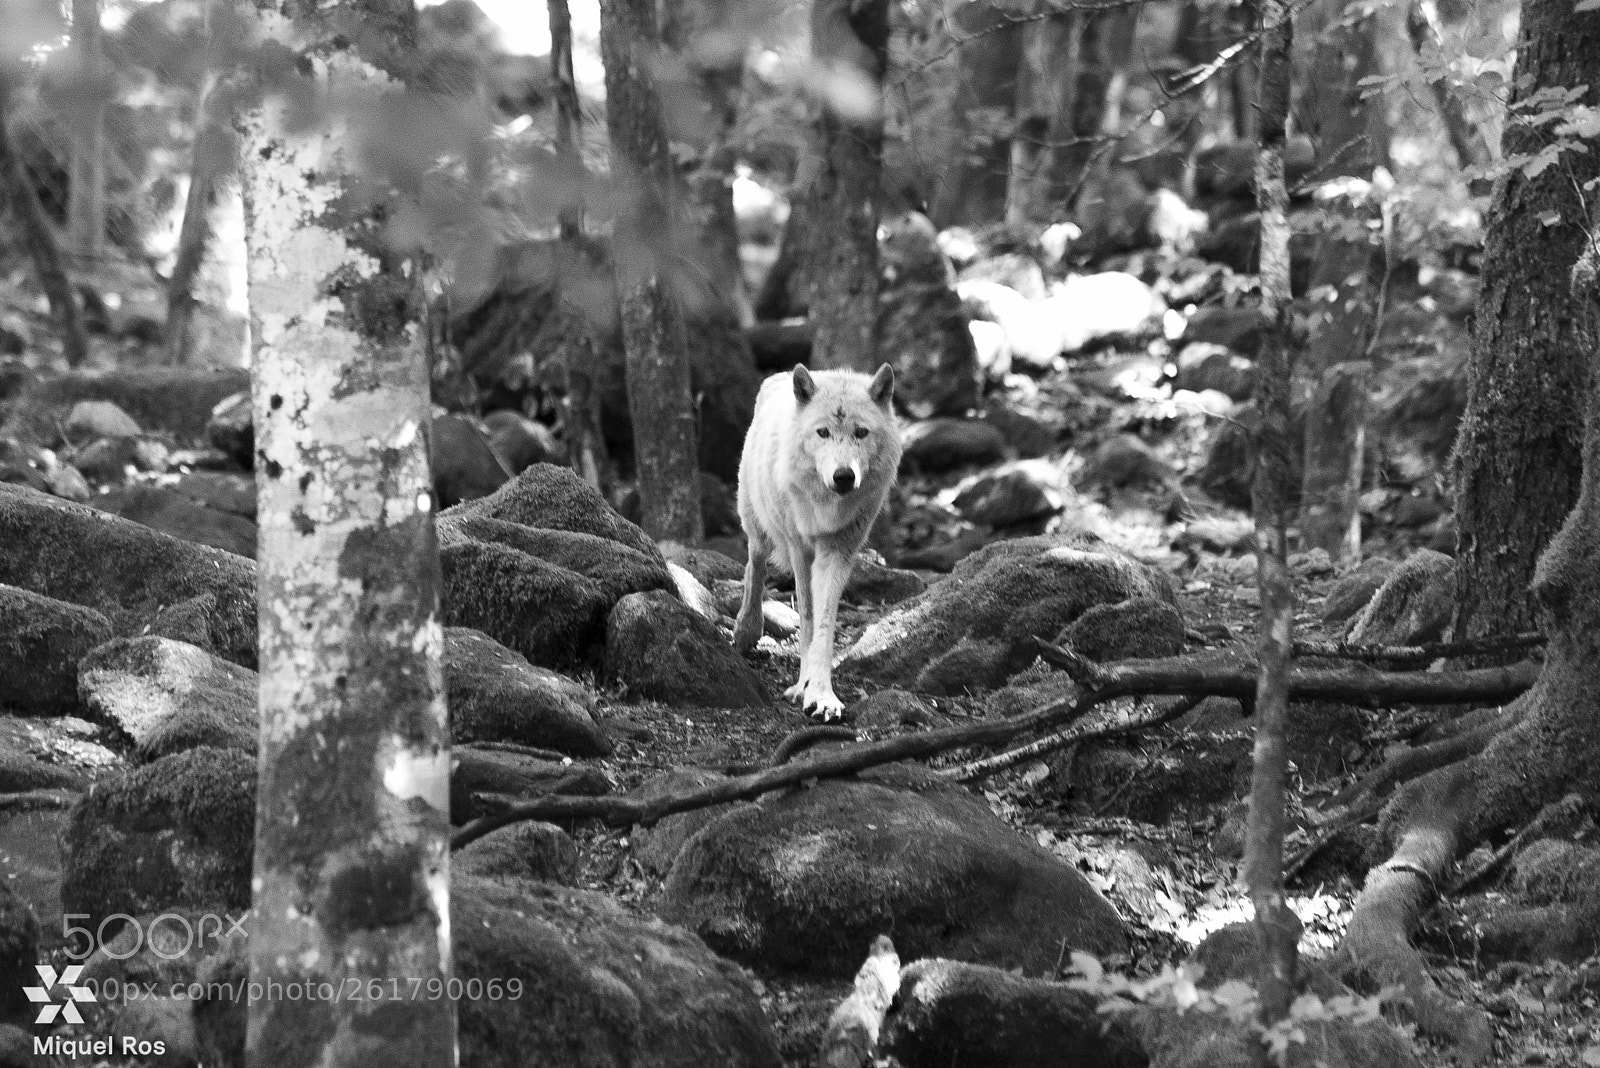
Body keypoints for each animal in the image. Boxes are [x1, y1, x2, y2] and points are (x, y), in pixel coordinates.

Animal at [733, 363, 901, 720]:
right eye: (822, 432)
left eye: (861, 433)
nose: (844, 476)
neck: (828, 507)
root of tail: (782, 376)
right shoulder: (800, 550)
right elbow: (808, 619)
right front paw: (803, 687)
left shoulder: (838, 551)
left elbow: (824, 625)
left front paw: (822, 695)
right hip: (757, 529)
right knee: (755, 568)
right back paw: (745, 631)